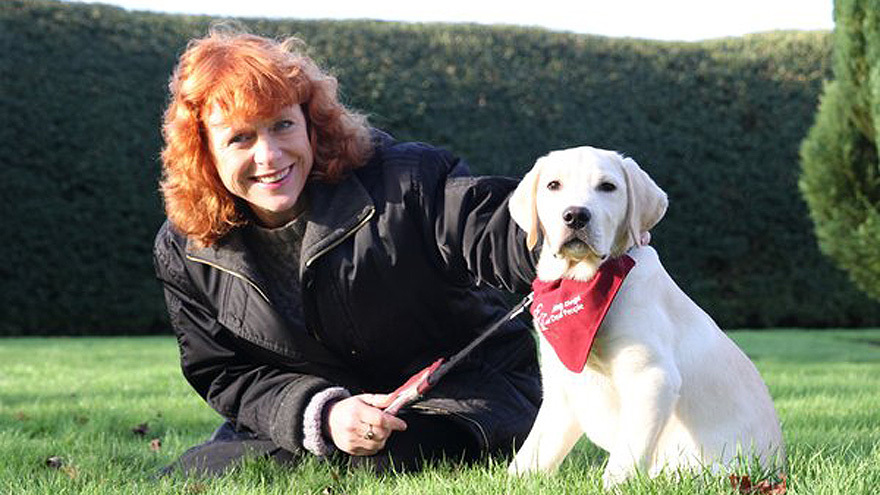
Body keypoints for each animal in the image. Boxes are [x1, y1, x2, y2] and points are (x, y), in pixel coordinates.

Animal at [506, 146, 788, 488]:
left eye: (608, 187)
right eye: (553, 185)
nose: (575, 215)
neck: (585, 282)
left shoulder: (651, 378)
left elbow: (627, 452)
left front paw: (615, 485)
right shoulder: (562, 385)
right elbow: (535, 448)